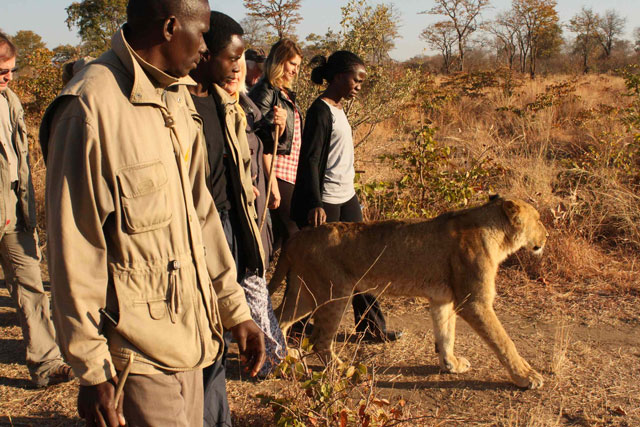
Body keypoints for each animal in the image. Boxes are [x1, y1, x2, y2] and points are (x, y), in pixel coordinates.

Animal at [270, 196, 552, 390]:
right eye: (539, 220)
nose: (547, 235)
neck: (496, 234)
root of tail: (297, 237)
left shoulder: (442, 300)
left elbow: (446, 334)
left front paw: (451, 364)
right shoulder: (474, 302)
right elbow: (504, 341)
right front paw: (527, 377)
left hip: (305, 292)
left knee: (280, 318)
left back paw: (284, 357)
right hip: (334, 290)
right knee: (319, 338)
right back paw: (341, 369)